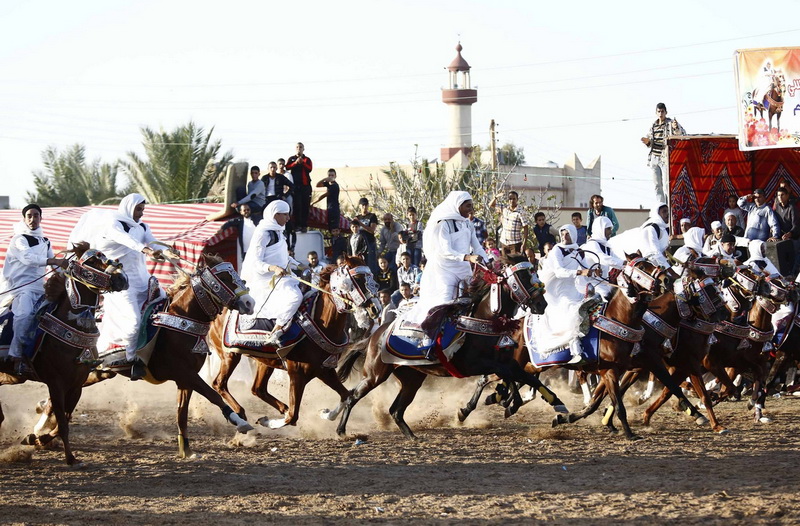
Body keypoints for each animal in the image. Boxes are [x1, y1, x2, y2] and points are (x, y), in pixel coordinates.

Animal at [0, 243, 127, 466]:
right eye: (92, 261)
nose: (122, 278)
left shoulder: (76, 385)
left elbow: (63, 422)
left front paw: (36, 438)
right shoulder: (56, 383)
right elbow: (62, 421)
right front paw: (70, 458)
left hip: (9, 376)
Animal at [206, 256, 382, 434]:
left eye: (371, 276)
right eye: (358, 278)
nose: (376, 308)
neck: (320, 321)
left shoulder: (324, 370)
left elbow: (347, 396)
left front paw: (325, 413)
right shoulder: (297, 373)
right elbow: (292, 417)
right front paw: (268, 421)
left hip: (264, 362)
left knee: (257, 389)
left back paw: (279, 408)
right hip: (230, 355)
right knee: (219, 384)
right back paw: (241, 414)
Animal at [332, 260, 568, 442]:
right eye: (523, 278)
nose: (542, 304)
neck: (482, 321)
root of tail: (375, 335)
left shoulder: (505, 362)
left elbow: (525, 377)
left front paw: (557, 405)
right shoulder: (476, 365)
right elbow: (511, 377)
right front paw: (505, 402)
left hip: (411, 378)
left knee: (396, 410)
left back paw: (412, 436)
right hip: (375, 375)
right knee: (352, 397)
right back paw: (341, 430)